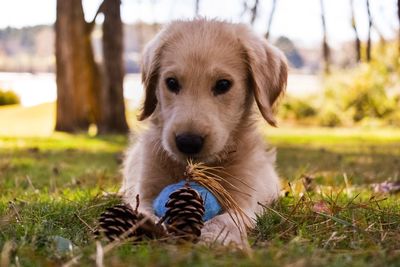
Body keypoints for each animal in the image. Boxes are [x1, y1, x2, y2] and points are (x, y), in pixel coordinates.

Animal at [120, 18, 286, 248]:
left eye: (223, 84)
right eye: (171, 82)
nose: (188, 142)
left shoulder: (244, 199)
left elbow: (228, 219)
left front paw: (215, 238)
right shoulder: (144, 190)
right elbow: (142, 210)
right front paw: (151, 227)